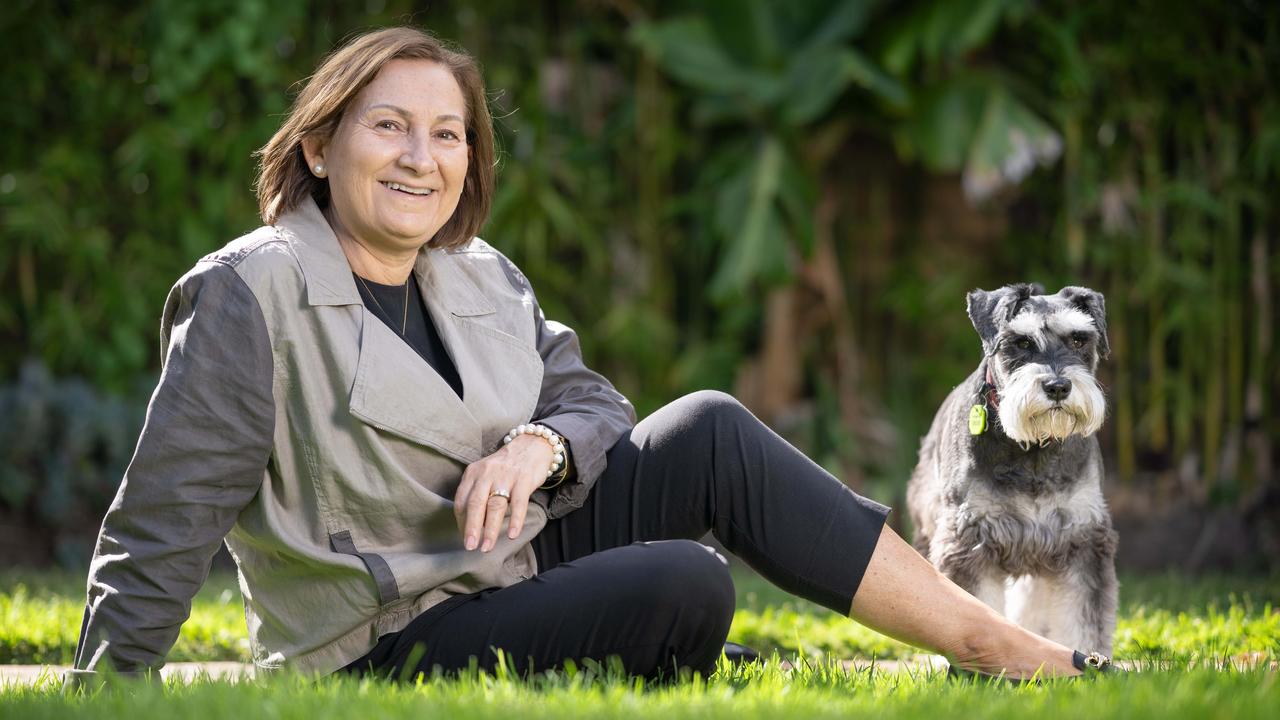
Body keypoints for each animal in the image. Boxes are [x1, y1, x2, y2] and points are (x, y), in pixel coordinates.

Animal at [906, 283, 1116, 653]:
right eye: (1021, 342)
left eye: (1079, 339)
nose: (1058, 387)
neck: (1034, 448)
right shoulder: (969, 537)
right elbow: (973, 608)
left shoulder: (1083, 538)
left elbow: (1085, 623)